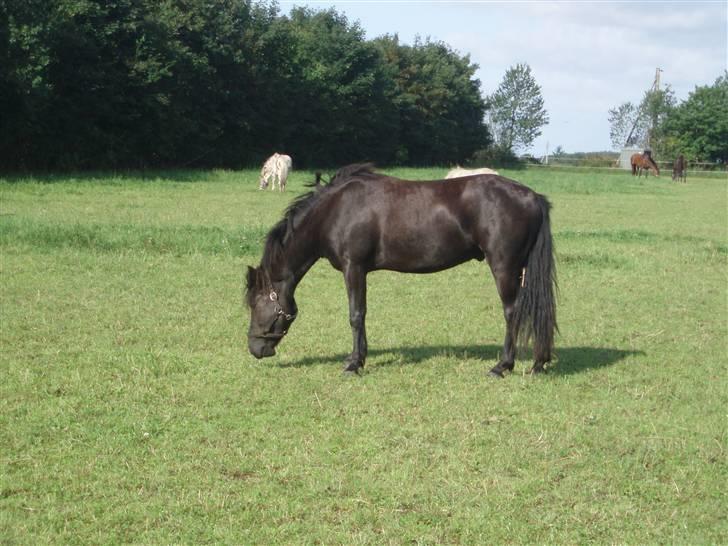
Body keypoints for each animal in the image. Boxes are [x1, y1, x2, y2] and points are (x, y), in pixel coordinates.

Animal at [245, 164, 556, 376]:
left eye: (255, 305)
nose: (255, 349)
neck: (335, 211)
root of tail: (532, 196)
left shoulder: (353, 268)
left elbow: (356, 315)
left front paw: (353, 363)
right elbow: (362, 314)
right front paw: (359, 357)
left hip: (504, 267)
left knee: (512, 312)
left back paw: (502, 365)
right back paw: (538, 362)